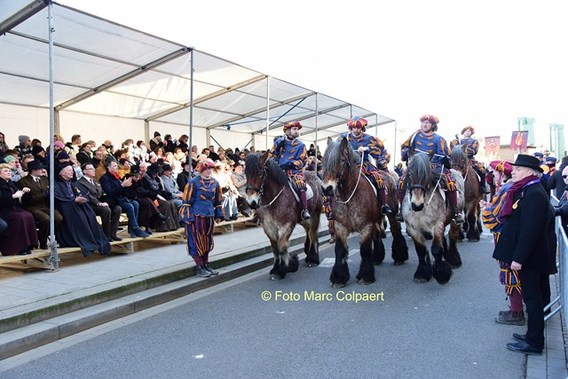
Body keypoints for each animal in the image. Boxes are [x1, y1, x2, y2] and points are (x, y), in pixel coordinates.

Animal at [246, 152, 322, 282]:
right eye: (246, 173)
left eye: (260, 173)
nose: (252, 202)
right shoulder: (268, 227)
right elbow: (275, 248)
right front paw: (276, 270)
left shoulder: (287, 225)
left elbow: (281, 246)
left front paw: (289, 266)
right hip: (303, 219)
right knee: (308, 231)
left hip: (315, 214)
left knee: (313, 233)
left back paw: (313, 258)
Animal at [320, 137, 408, 288]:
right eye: (324, 160)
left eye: (342, 160)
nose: (327, 188)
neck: (349, 196)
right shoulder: (340, 227)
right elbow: (340, 251)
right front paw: (339, 278)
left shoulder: (366, 225)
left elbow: (365, 249)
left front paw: (366, 276)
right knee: (378, 234)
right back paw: (377, 258)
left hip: (391, 214)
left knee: (396, 230)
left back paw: (399, 257)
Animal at [400, 153, 466, 284]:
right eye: (409, 174)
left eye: (427, 176)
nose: (417, 205)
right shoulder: (412, 229)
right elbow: (421, 250)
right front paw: (422, 273)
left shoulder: (437, 225)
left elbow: (436, 249)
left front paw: (441, 274)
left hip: (455, 220)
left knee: (453, 236)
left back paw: (454, 260)